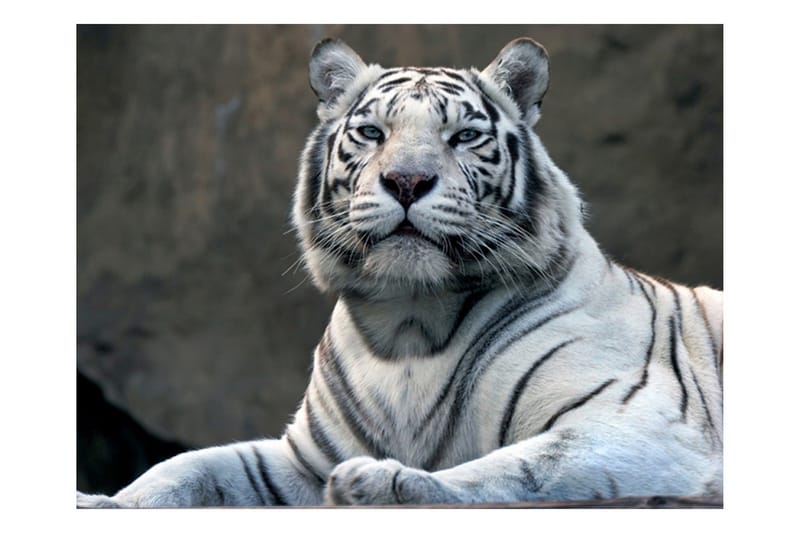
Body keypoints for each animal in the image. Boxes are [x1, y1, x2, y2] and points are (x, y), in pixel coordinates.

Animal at [77, 37, 723, 507]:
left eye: (464, 136)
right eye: (372, 132)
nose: (407, 180)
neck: (409, 323)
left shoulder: (639, 425)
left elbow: (519, 469)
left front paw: (384, 483)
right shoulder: (302, 460)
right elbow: (189, 466)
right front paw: (106, 503)